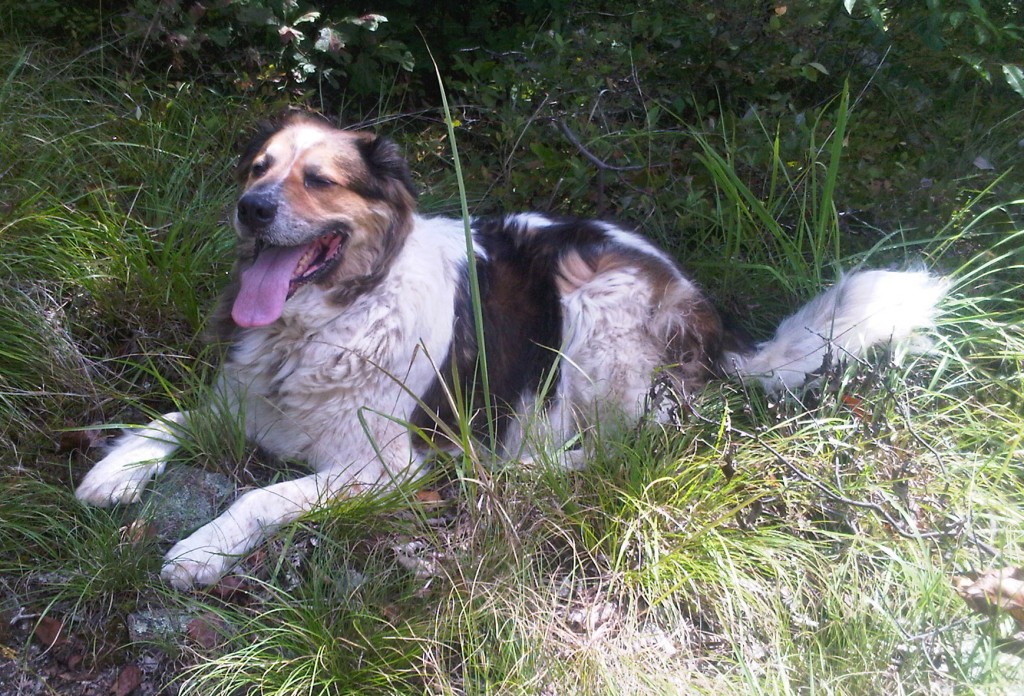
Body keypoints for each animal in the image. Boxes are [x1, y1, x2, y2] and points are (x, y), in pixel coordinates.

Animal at [75, 111, 946, 589]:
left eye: (318, 179)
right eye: (258, 168)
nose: (251, 208)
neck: (332, 315)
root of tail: (705, 311)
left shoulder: (385, 467)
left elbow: (257, 497)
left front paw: (199, 550)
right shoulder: (240, 403)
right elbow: (166, 419)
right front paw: (112, 472)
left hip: (594, 306)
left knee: (633, 450)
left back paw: (519, 470)